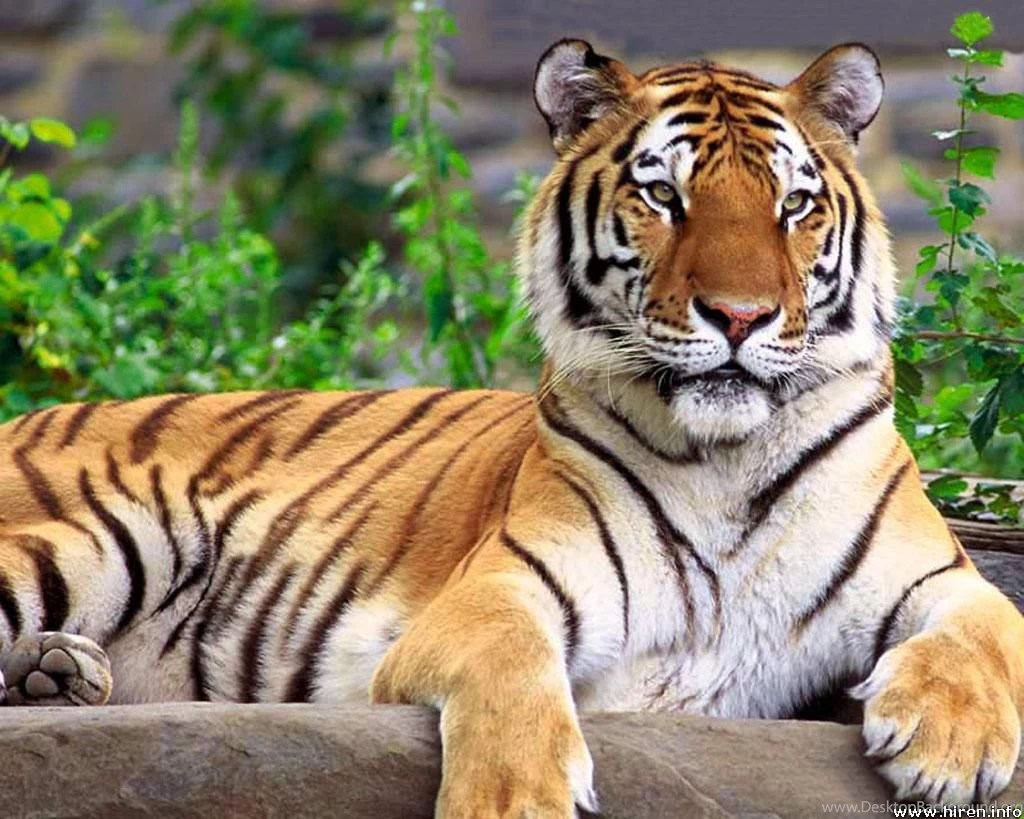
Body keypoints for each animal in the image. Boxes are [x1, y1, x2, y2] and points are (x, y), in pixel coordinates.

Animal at [0, 37, 1021, 817]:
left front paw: (949, 747)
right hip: (116, 533)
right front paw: (514, 800)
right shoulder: (500, 587)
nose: (740, 317)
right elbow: (511, 668)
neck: (725, 460)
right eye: (665, 197)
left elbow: (994, 625)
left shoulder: (938, 573)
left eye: (794, 205)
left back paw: (55, 673)